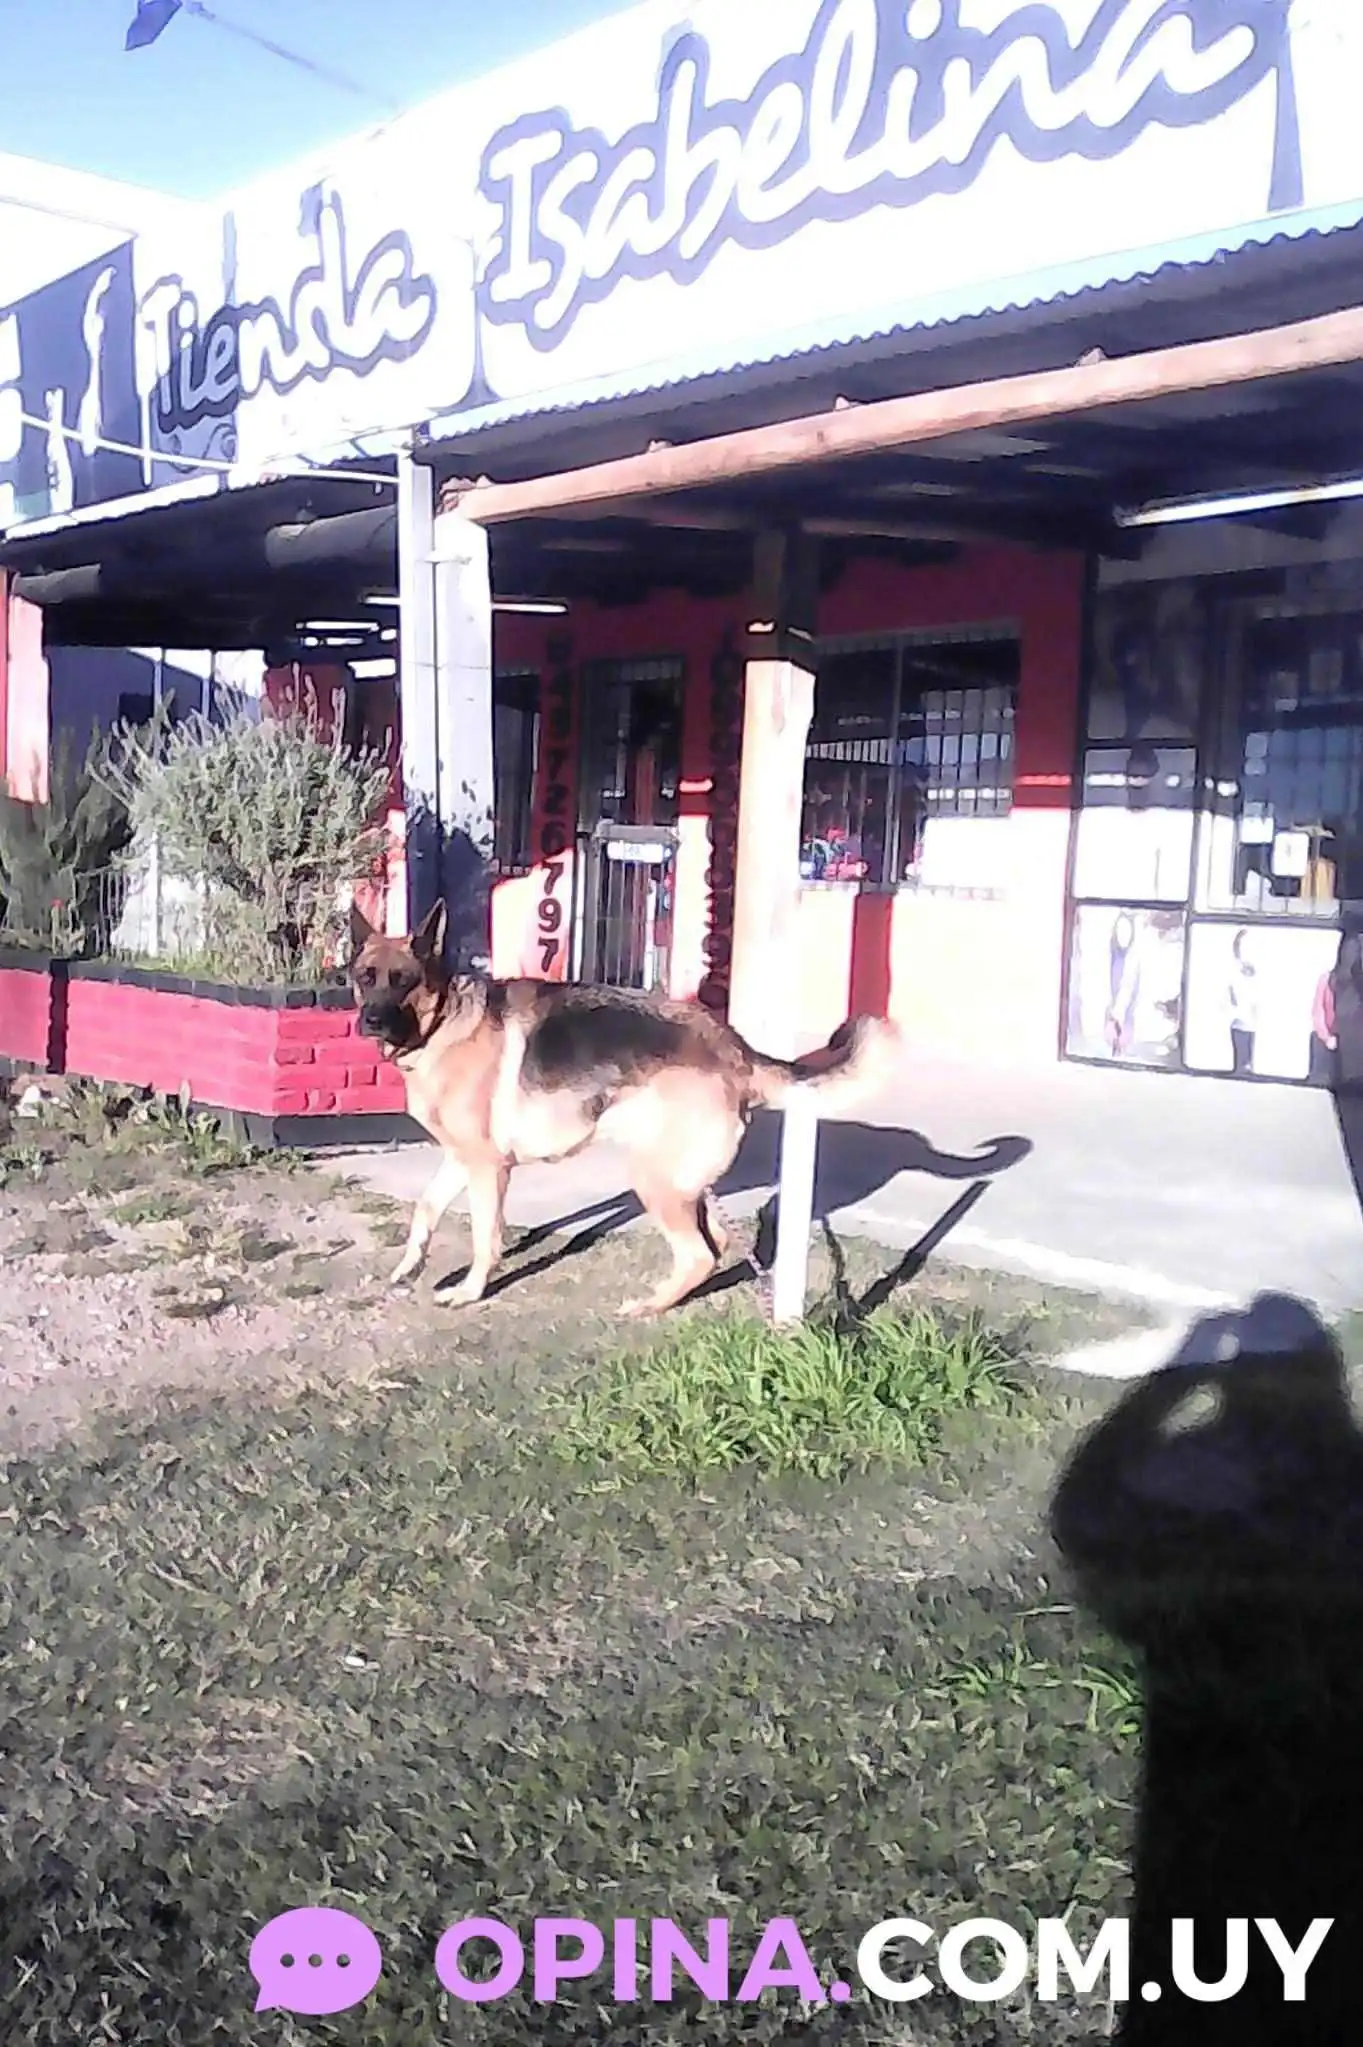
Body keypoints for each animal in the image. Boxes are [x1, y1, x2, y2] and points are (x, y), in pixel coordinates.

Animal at [348, 898, 902, 1318]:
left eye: (403, 980)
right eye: (365, 977)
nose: (369, 1022)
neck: (442, 1022)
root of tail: (736, 1049)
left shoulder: (488, 1168)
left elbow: (487, 1238)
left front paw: (469, 1292)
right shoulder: (460, 1159)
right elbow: (424, 1210)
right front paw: (409, 1268)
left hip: (653, 1178)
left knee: (698, 1253)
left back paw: (648, 1307)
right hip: (684, 1181)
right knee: (718, 1243)